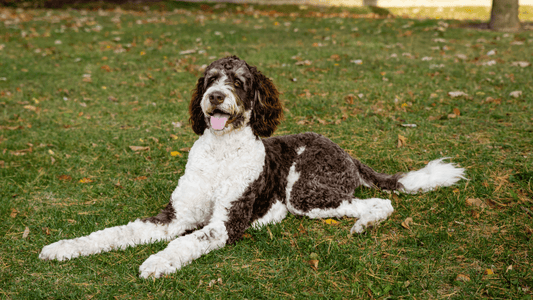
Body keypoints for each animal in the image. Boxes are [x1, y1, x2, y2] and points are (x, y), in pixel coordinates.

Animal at [39, 55, 464, 278]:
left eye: (240, 82)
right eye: (210, 79)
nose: (214, 96)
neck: (219, 154)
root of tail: (344, 151)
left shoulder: (225, 222)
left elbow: (186, 242)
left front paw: (158, 261)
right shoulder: (173, 216)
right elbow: (114, 232)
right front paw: (66, 247)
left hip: (305, 194)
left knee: (377, 203)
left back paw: (363, 224)